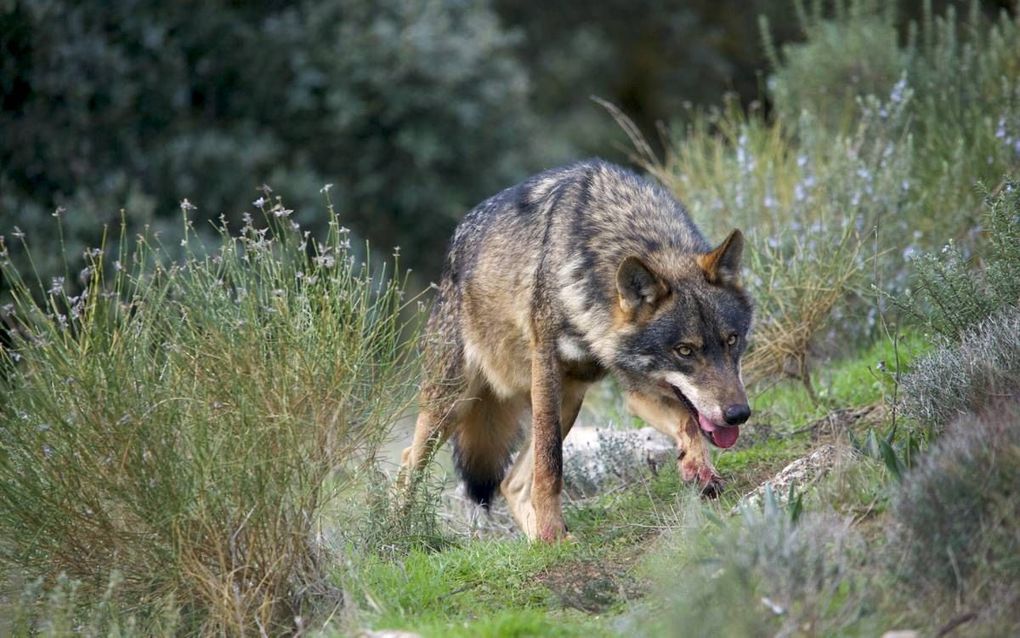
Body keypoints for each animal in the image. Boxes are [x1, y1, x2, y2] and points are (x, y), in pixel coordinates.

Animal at [397, 158, 750, 538]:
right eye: (685, 351)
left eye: (732, 340)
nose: (739, 414)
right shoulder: (546, 368)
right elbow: (550, 465)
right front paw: (552, 532)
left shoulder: (636, 388)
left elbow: (688, 423)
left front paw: (699, 469)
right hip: (453, 404)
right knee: (407, 464)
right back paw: (399, 533)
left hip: (569, 398)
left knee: (510, 483)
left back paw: (540, 541)